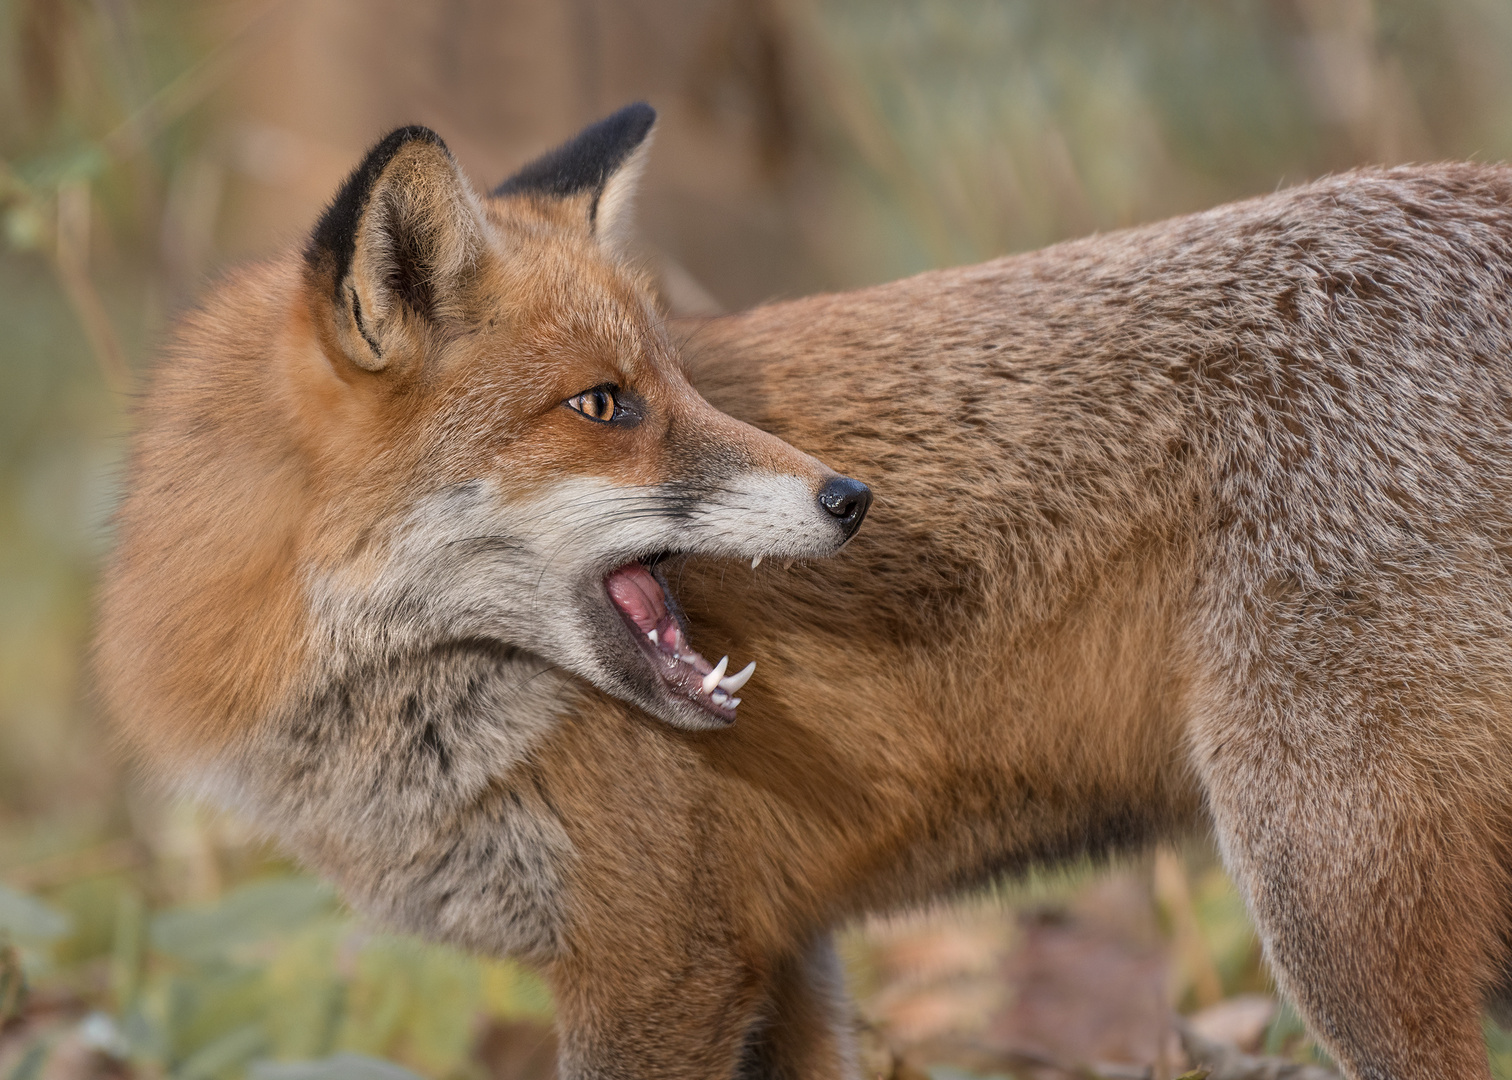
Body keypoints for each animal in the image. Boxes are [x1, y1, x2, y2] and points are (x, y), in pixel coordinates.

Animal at [94, 102, 1512, 1076]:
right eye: (605, 406)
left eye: (677, 376)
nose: (851, 497)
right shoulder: (778, 955)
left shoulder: (657, 968)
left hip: (1327, 903)